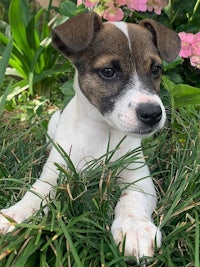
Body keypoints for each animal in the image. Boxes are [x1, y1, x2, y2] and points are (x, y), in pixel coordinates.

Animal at [0, 12, 181, 264]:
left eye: (155, 69)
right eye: (108, 72)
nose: (153, 114)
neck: (103, 134)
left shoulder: (138, 178)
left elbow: (131, 199)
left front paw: (134, 229)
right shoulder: (54, 173)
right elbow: (36, 194)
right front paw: (14, 216)